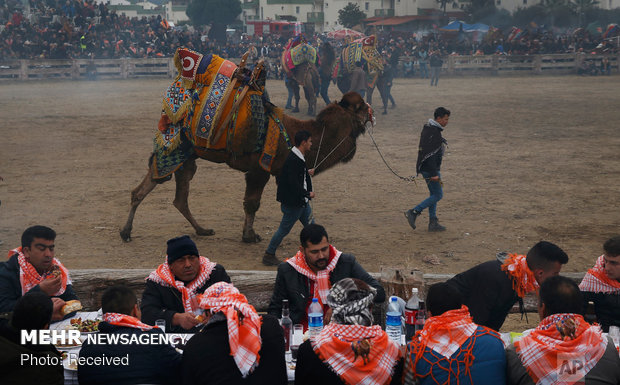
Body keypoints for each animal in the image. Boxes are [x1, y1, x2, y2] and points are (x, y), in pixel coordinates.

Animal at [120, 47, 372, 240]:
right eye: (359, 107)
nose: (371, 113)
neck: (291, 134)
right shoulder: (259, 169)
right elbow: (252, 203)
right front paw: (250, 236)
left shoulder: (273, 171)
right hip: (175, 148)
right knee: (151, 183)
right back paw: (126, 231)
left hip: (187, 157)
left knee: (177, 196)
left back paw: (201, 230)